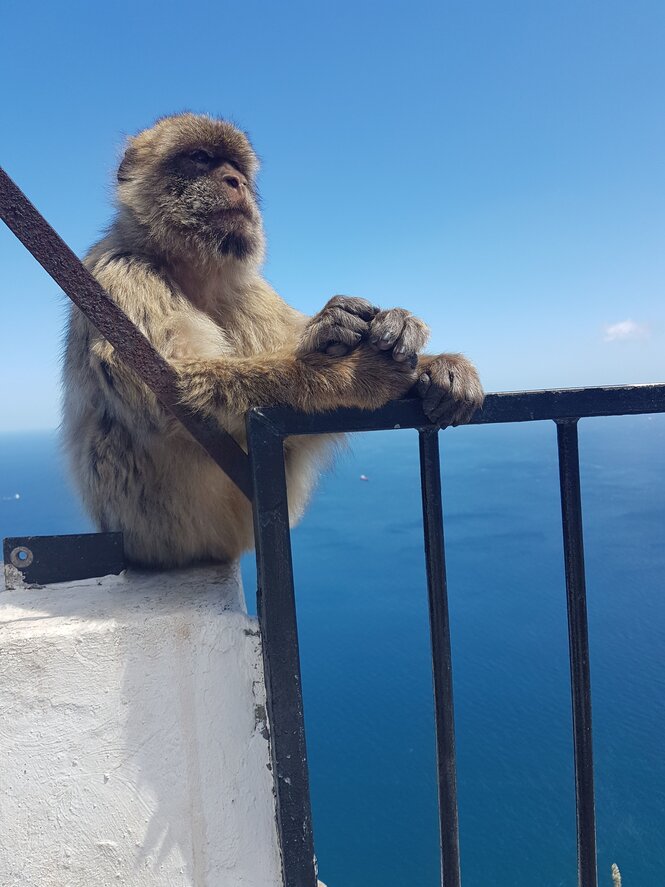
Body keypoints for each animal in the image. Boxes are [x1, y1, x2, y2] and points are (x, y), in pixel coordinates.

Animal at [61, 112, 482, 568]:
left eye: (237, 168)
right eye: (201, 158)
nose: (235, 182)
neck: (189, 269)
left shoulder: (250, 291)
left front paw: (423, 353)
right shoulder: (122, 274)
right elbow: (169, 384)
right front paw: (350, 373)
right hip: (157, 525)